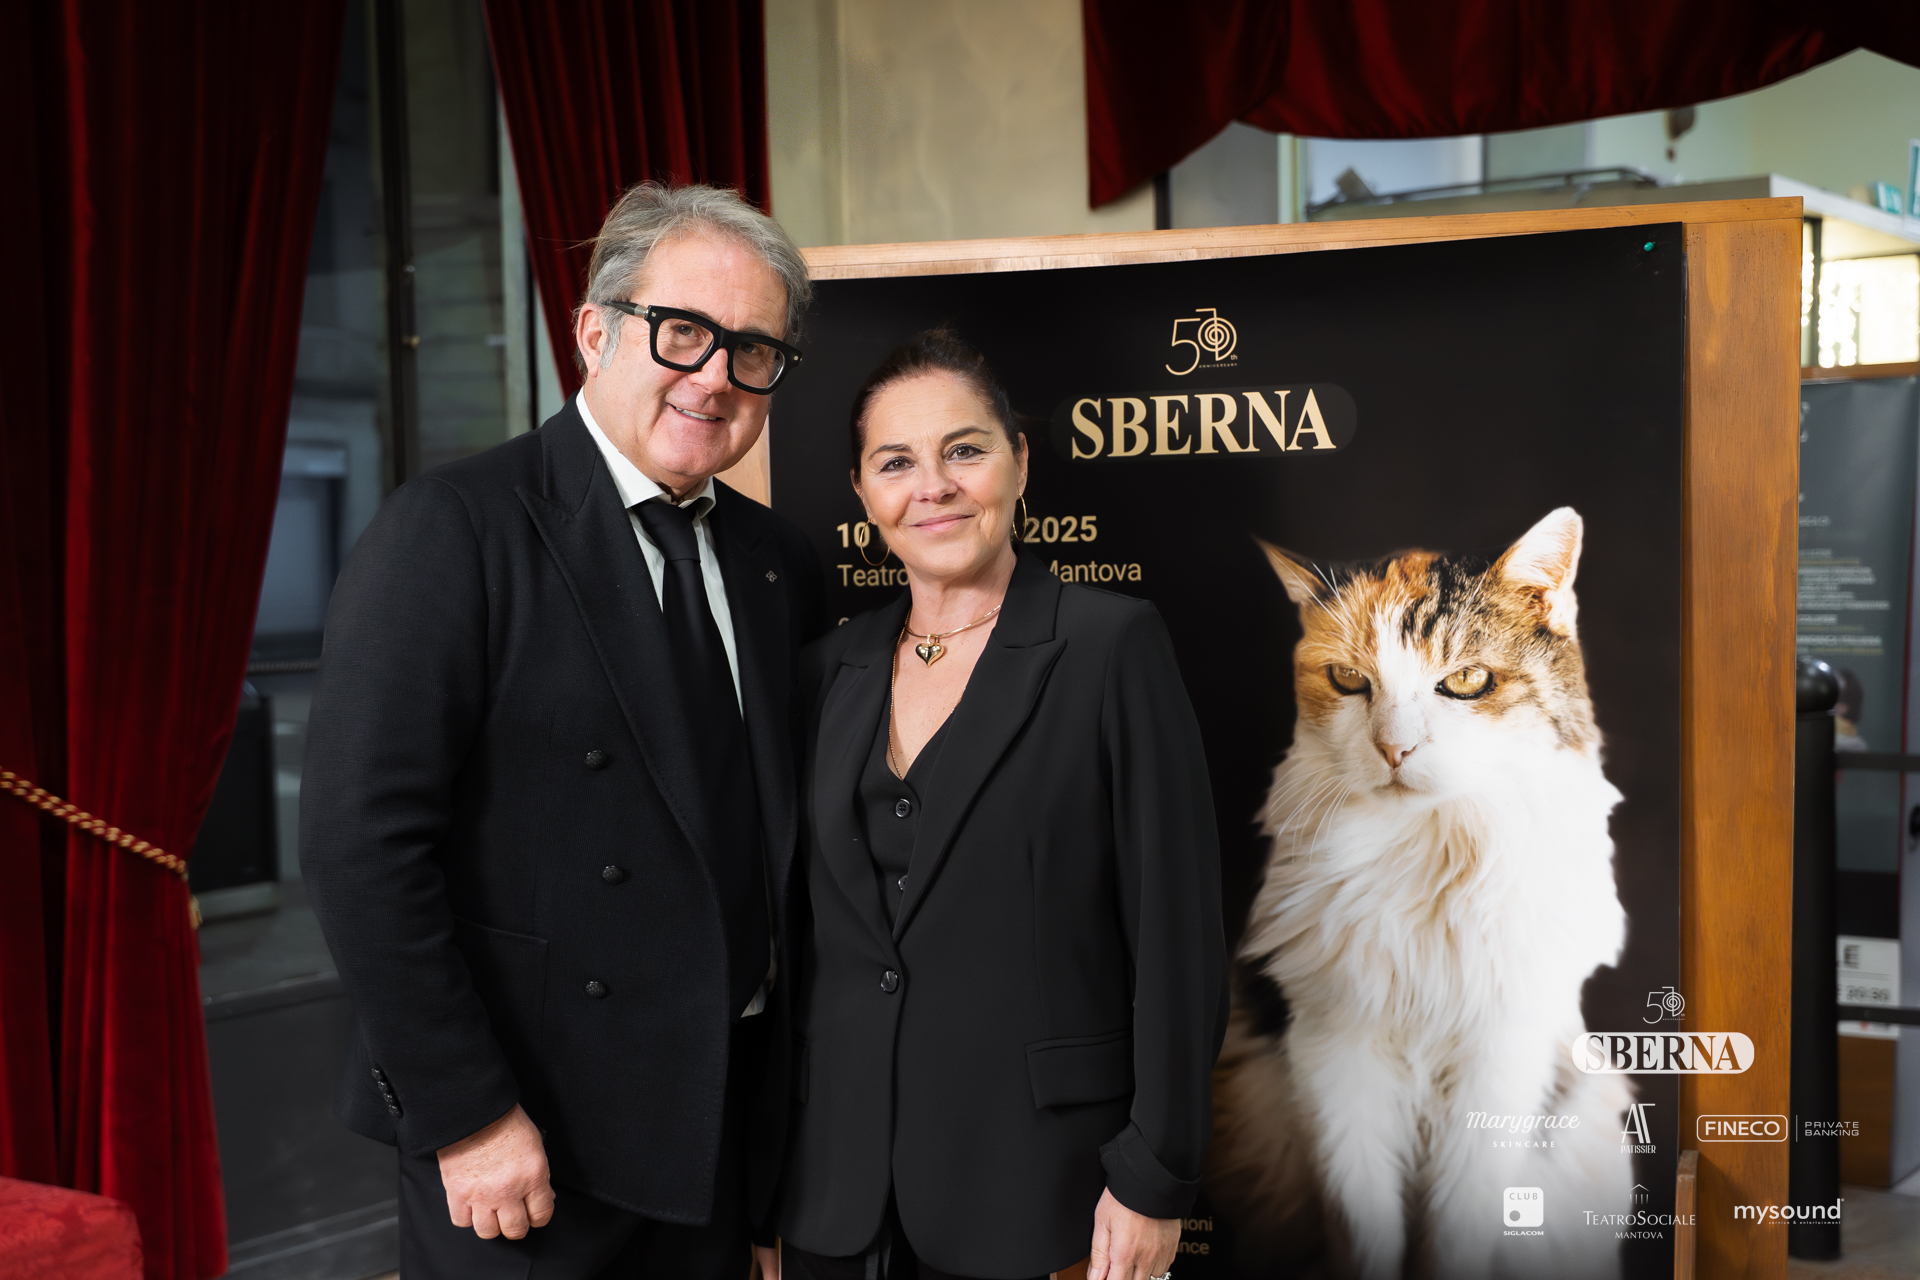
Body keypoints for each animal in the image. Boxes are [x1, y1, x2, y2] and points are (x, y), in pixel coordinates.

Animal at [1208, 508, 1636, 1280]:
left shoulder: (1499, 1059)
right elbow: (1363, 1230)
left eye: (1465, 679)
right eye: (1348, 679)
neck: (1430, 854)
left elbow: (1457, 1230)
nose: (1394, 750)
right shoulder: (1335, 1053)